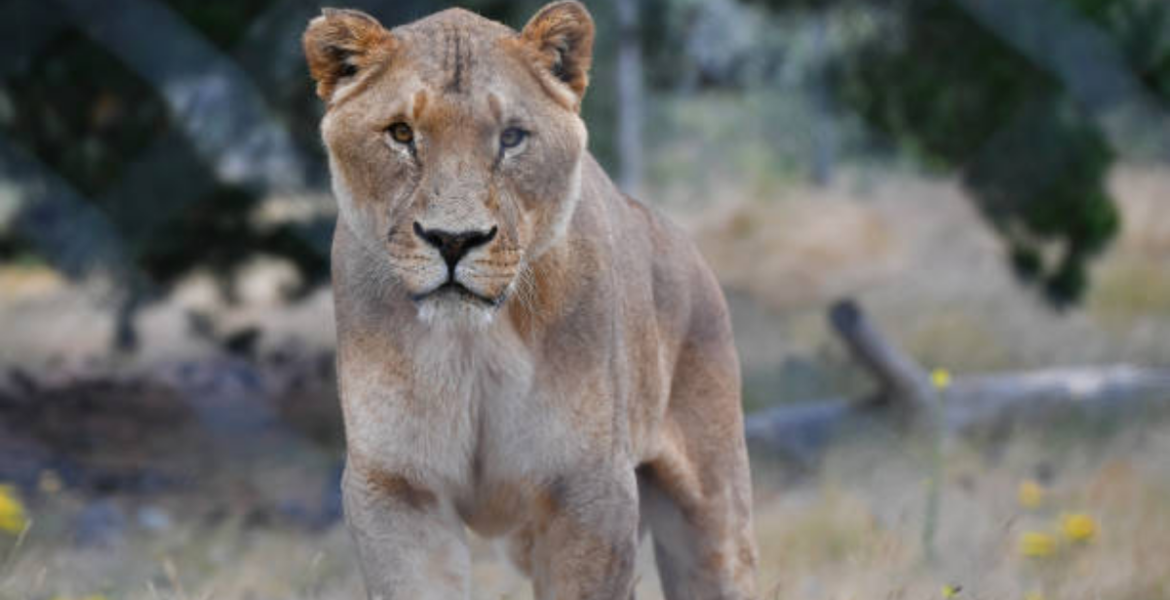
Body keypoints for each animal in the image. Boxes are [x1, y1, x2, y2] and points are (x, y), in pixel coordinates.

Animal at [303, 3, 757, 598]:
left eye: (512, 137)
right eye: (401, 133)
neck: (470, 347)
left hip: (711, 512)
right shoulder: (395, 485)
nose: (454, 240)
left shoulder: (589, 486)